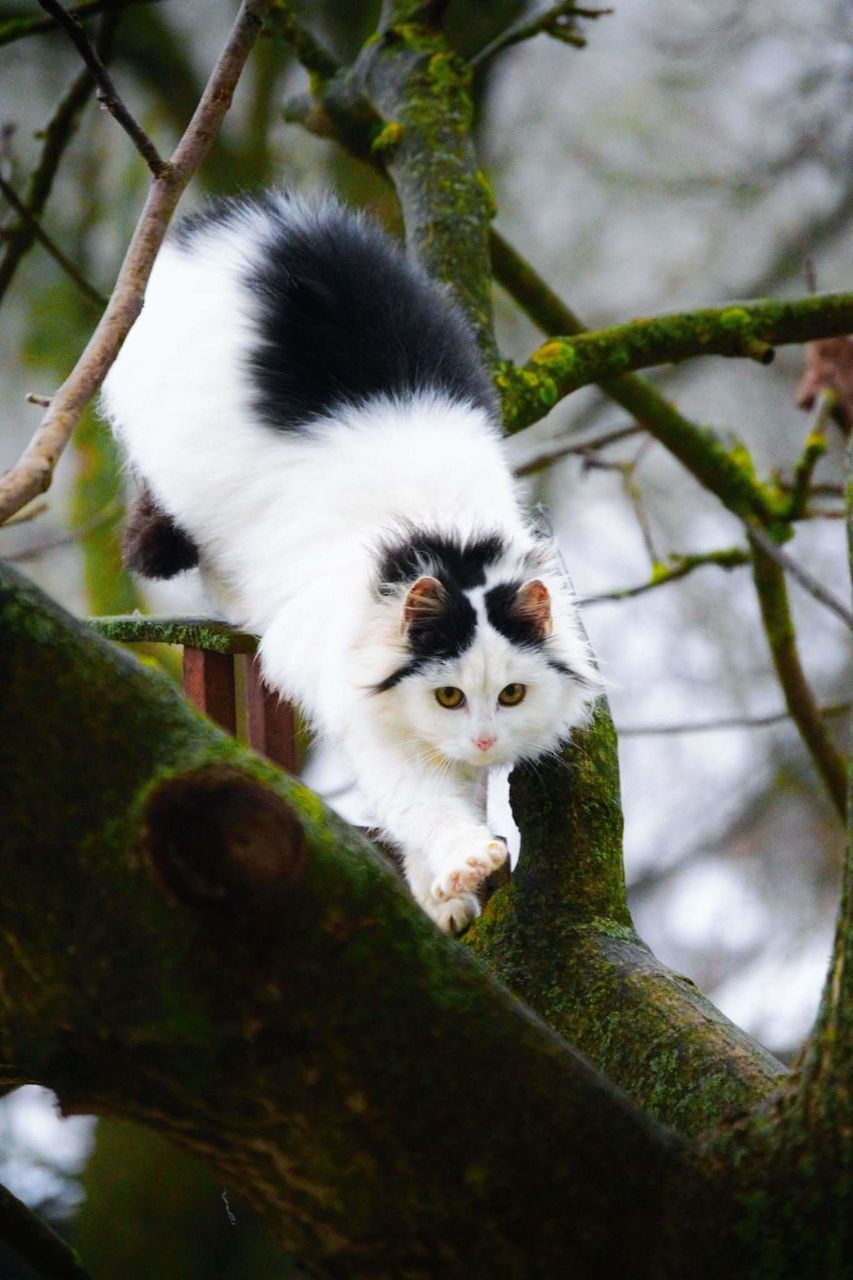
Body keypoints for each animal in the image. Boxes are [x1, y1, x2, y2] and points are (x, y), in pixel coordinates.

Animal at [101, 189, 596, 931]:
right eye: (448, 695)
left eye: (511, 695)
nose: (484, 741)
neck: (443, 540)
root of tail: (260, 215)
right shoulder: (366, 715)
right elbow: (419, 801)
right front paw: (461, 866)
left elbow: (452, 792)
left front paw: (442, 899)